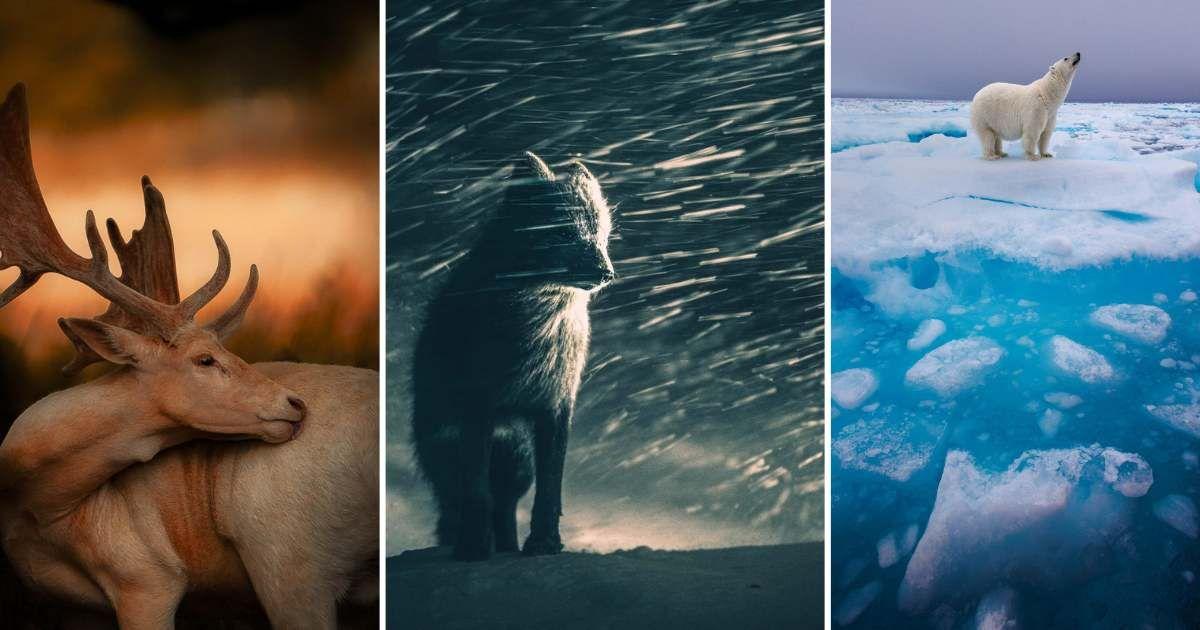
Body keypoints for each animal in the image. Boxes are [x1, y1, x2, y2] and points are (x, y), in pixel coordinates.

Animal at [411, 151, 615, 561]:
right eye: (564, 232)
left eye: (602, 234)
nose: (607, 273)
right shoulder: (478, 407)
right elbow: (477, 495)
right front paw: (474, 550)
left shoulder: (556, 406)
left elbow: (550, 492)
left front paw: (544, 544)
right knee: (461, 503)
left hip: (518, 466)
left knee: (505, 509)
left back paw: (507, 547)